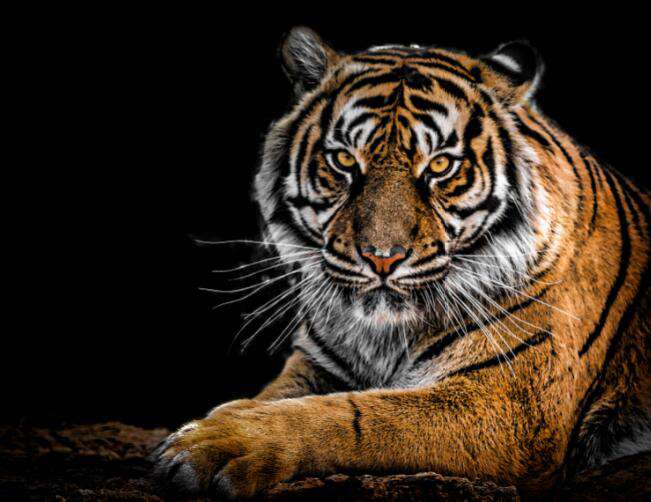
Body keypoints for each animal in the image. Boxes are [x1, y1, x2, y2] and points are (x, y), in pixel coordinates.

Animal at [151, 27, 650, 498]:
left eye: (441, 166)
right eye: (343, 160)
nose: (381, 258)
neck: (384, 336)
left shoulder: (509, 405)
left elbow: (359, 415)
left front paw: (216, 443)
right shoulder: (317, 364)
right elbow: (275, 396)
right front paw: (214, 423)